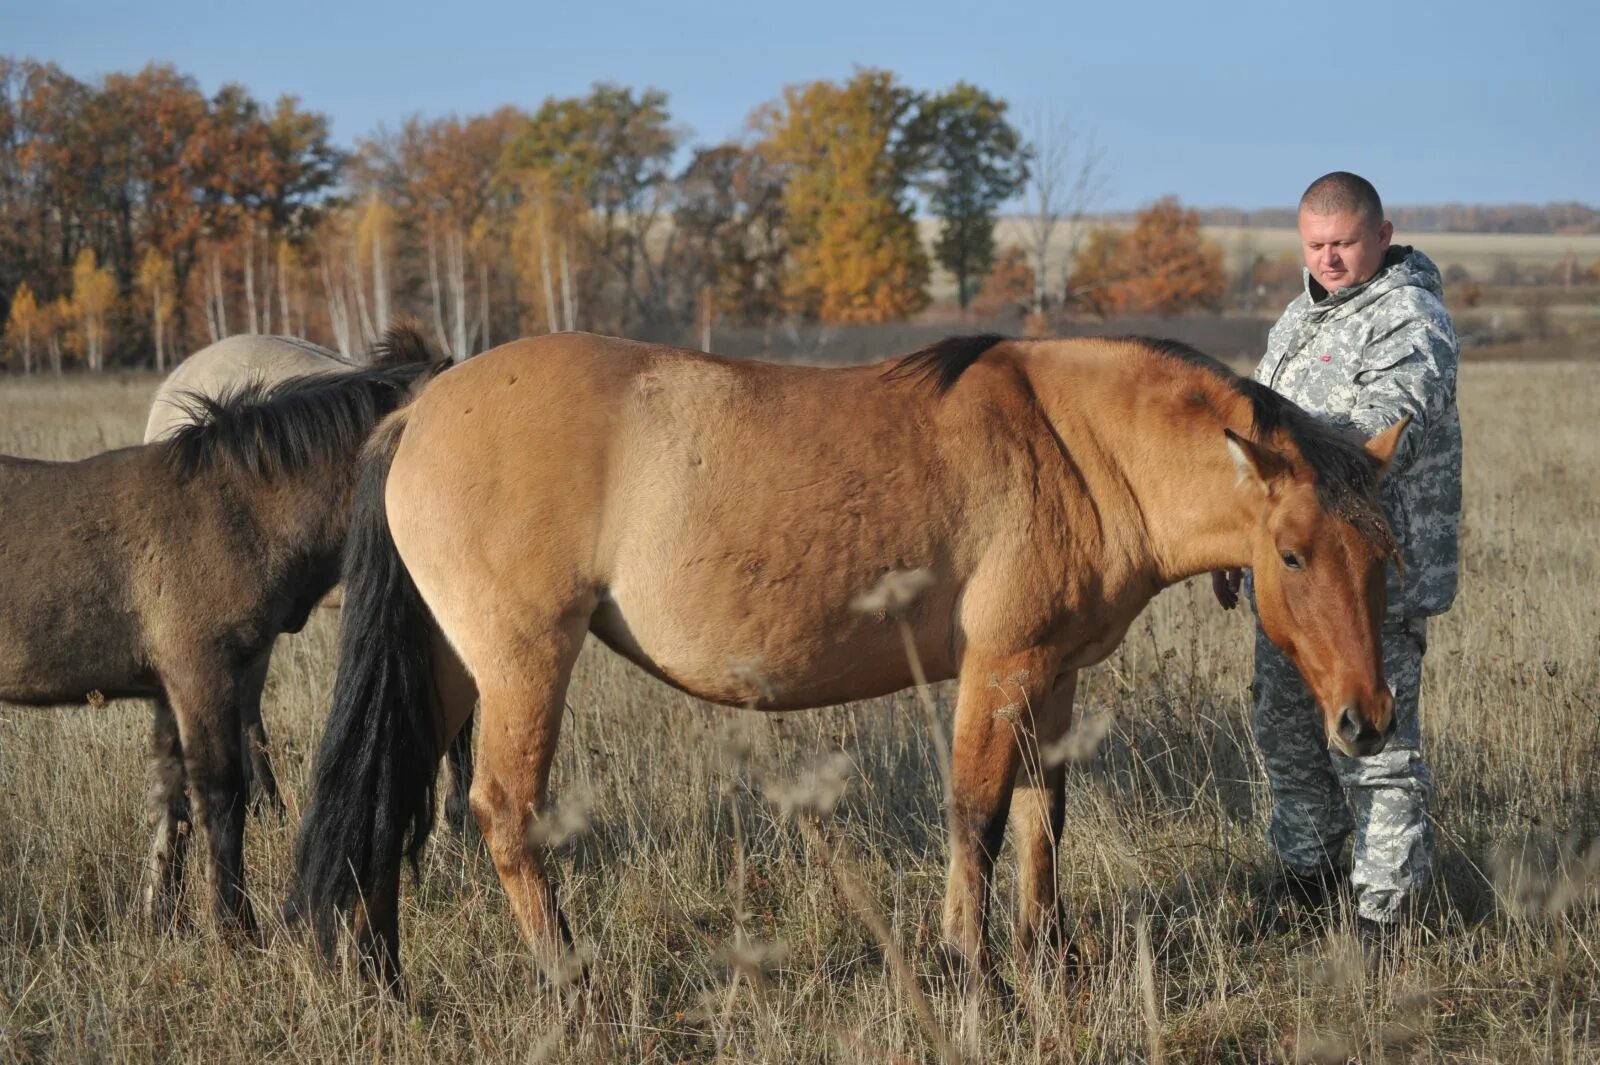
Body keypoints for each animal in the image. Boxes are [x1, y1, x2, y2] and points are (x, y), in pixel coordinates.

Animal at [0, 334, 438, 940]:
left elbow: (171, 795)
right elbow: (220, 794)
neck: (236, 511)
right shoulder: (200, 675)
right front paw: (236, 930)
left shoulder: (177, 686)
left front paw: (161, 915)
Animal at [294, 329, 1408, 978]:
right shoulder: (998, 666)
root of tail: (418, 408)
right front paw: (972, 964)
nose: (1367, 720)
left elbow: (1044, 814)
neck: (1075, 444)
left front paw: (1048, 952)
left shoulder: (1051, 675)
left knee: (392, 794)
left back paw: (381, 970)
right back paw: (571, 981)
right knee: (502, 811)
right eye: (1293, 553)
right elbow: (976, 813)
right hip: (523, 664)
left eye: (1386, 550)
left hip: (450, 668)